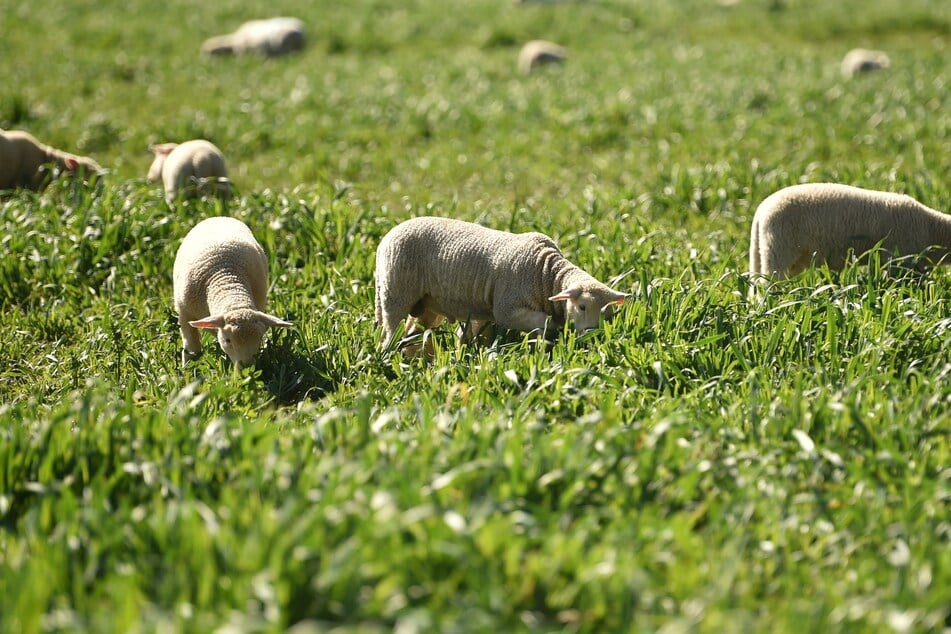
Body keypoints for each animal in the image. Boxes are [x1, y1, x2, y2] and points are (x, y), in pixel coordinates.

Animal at [173, 216, 292, 366]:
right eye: (228, 340)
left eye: (259, 340)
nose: (247, 366)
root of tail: (219, 217)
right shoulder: (184, 311)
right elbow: (191, 347)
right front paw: (188, 366)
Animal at [374, 216, 627, 350]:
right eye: (582, 306)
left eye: (608, 314)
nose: (592, 333)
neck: (545, 275)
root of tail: (386, 238)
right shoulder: (507, 307)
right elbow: (542, 322)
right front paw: (551, 328)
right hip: (395, 291)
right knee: (391, 329)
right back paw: (389, 353)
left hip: (427, 303)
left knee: (413, 333)